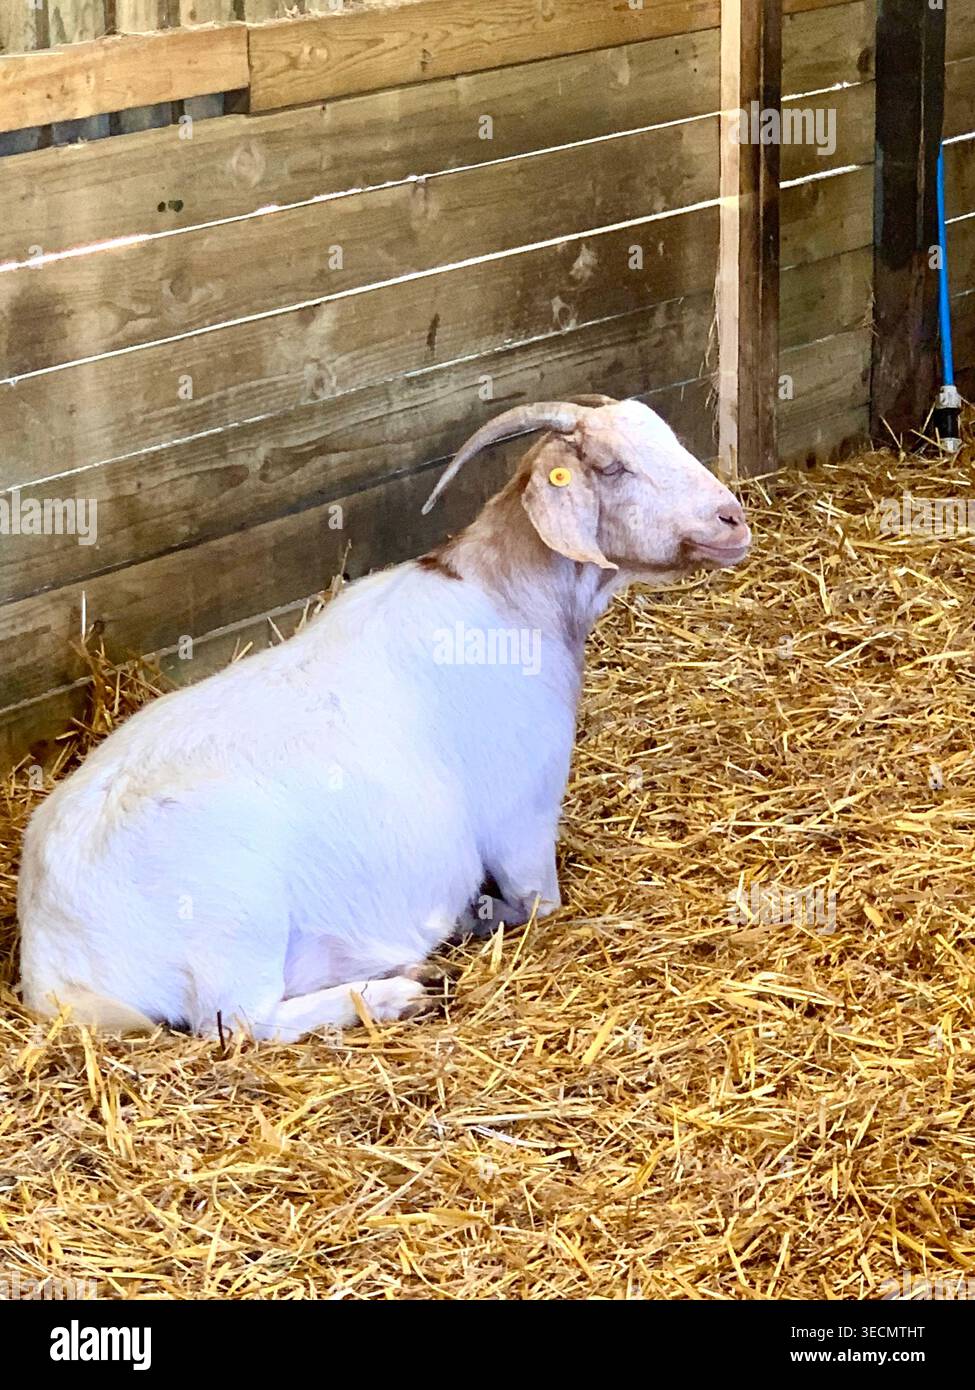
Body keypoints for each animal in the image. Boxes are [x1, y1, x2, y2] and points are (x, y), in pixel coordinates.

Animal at [18, 396, 750, 1041]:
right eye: (611, 466)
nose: (731, 520)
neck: (508, 602)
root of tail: (49, 957)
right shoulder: (521, 816)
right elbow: (537, 904)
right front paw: (479, 915)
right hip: (232, 918)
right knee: (238, 1021)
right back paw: (401, 991)